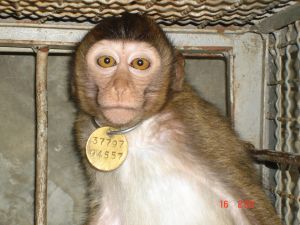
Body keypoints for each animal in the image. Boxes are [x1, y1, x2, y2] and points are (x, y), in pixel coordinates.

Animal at [72, 12, 282, 225]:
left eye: (140, 63)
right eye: (106, 61)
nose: (120, 88)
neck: (135, 130)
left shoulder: (197, 122)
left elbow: (246, 197)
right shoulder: (84, 129)